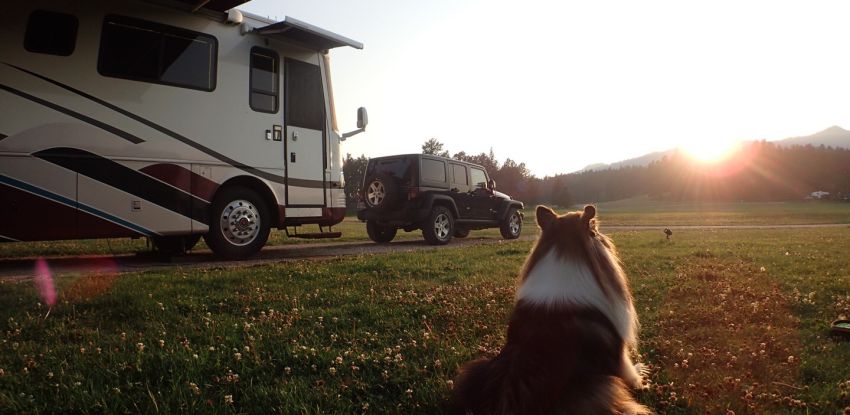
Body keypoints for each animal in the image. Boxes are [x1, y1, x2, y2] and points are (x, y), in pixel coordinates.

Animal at [448, 206, 644, 415]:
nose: (605, 238)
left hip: (473, 370)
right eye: (595, 231)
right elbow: (629, 369)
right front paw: (640, 376)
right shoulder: (619, 351)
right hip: (603, 387)